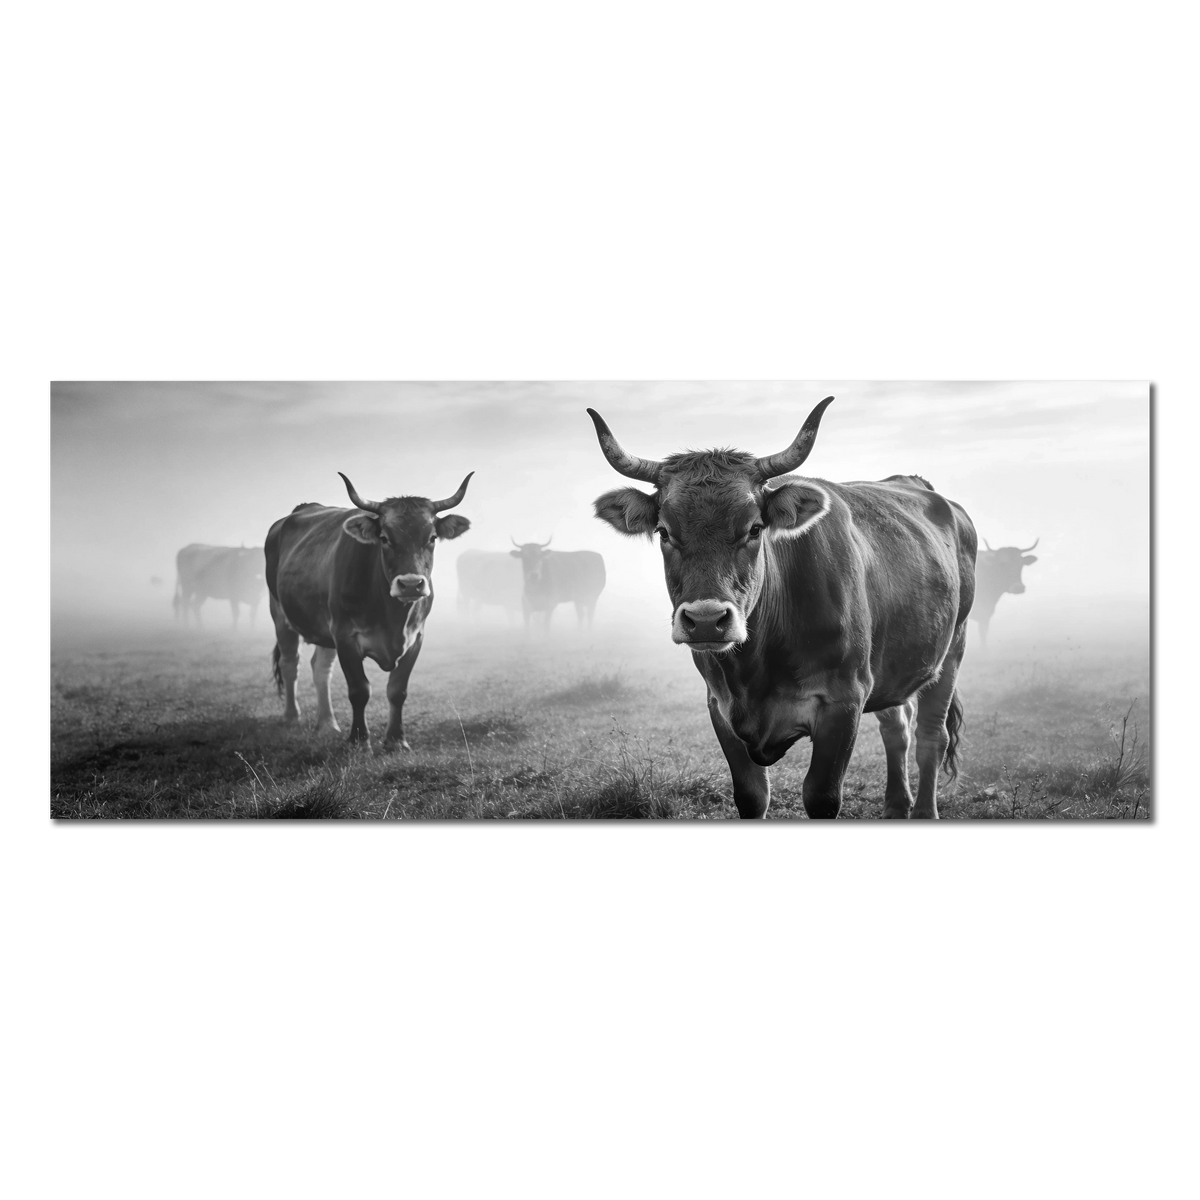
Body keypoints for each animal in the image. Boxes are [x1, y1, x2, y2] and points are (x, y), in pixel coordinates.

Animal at [265, 471, 473, 748]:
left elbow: (397, 690)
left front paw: (396, 740)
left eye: (432, 538)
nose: (410, 584)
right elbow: (359, 690)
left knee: (320, 669)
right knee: (290, 664)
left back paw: (327, 723)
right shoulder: (345, 637)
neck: (392, 617)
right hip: (280, 614)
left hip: (323, 627)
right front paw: (359, 739)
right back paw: (291, 716)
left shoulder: (415, 638)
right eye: (384, 538)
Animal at [588, 397, 977, 820]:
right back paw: (895, 805)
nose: (706, 621)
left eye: (755, 528)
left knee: (930, 738)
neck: (756, 667)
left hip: (952, 652)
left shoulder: (844, 702)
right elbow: (753, 795)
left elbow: (821, 795)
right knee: (897, 730)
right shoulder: (720, 708)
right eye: (664, 532)